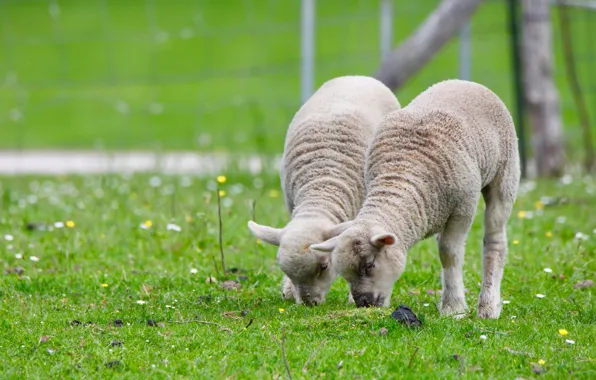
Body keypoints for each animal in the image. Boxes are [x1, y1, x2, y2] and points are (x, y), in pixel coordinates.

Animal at [247, 74, 400, 306]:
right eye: (287, 272)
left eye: (324, 267)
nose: (309, 303)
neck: (321, 186)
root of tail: (357, 77)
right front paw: (289, 291)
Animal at [310, 78, 520, 318]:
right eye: (344, 274)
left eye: (369, 265)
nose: (364, 303)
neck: (402, 173)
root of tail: (463, 81)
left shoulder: (463, 207)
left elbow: (450, 254)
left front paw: (454, 308)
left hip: (505, 176)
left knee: (495, 240)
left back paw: (488, 306)